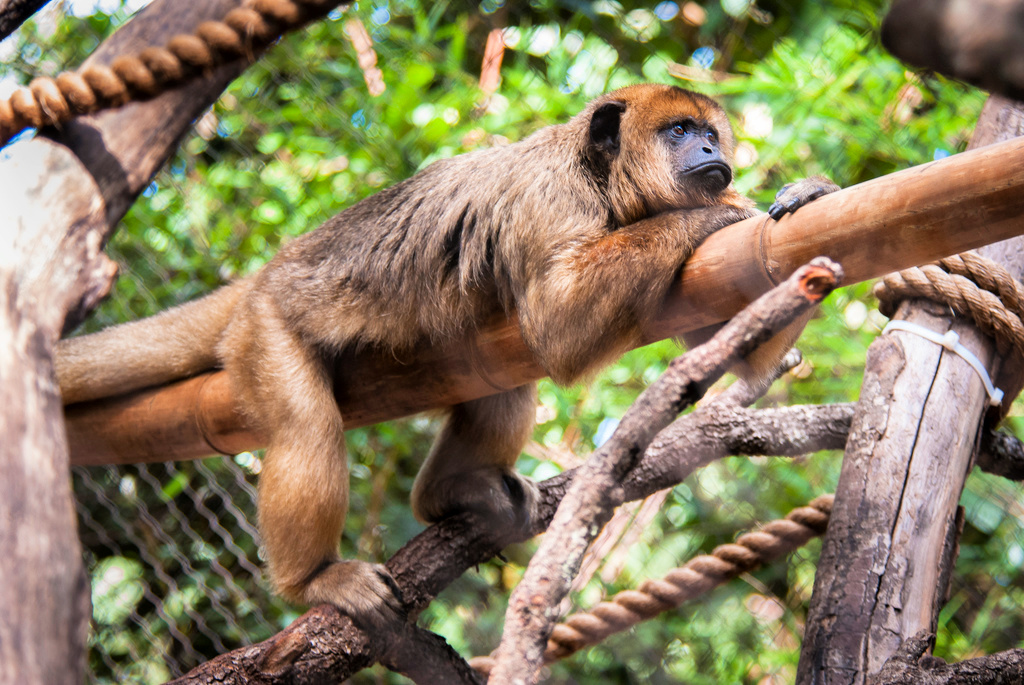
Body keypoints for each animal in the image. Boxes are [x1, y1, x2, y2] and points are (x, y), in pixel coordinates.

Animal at [57, 84, 837, 629]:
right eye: (678, 132)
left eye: (708, 131)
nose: (710, 153)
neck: (606, 180)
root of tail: (264, 276)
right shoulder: (549, 197)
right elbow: (558, 325)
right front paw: (721, 210)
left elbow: (735, 355)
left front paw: (807, 196)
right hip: (263, 331)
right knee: (307, 428)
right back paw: (313, 580)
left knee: (506, 386)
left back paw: (452, 491)